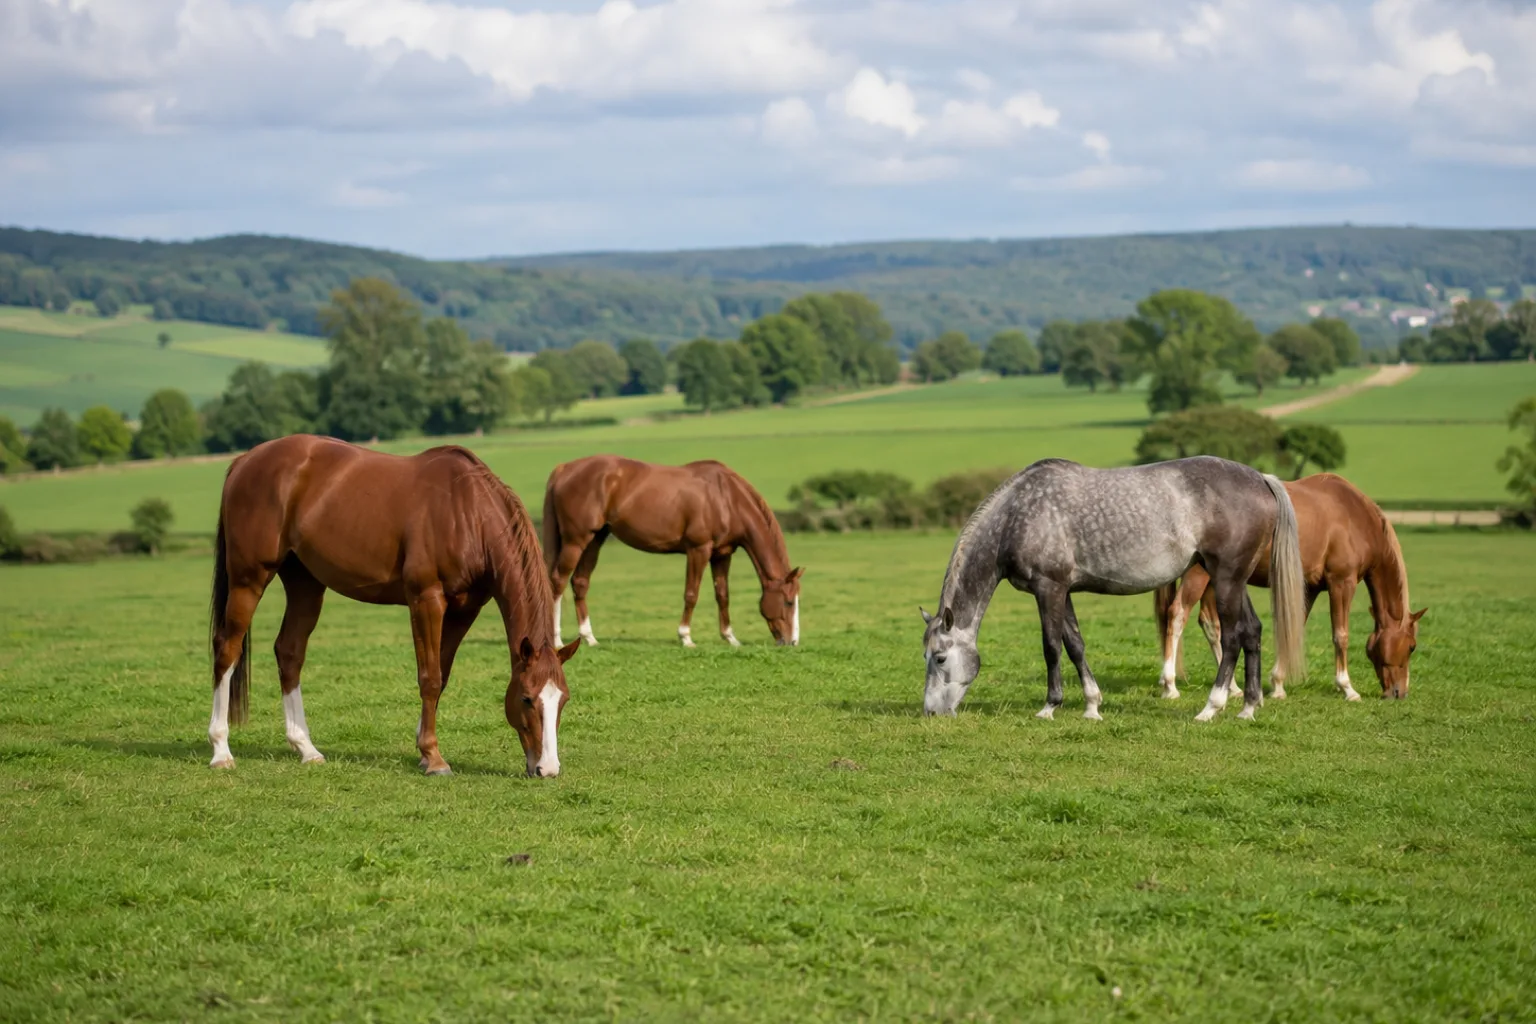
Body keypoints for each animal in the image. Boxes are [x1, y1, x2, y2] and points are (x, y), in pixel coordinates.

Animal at [209, 434, 578, 777]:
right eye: (526, 698)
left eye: (563, 699)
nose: (547, 768)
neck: (469, 513)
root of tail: (245, 460)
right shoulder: (426, 600)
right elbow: (430, 677)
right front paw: (434, 758)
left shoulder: (464, 609)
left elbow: (442, 675)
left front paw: (423, 749)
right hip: (248, 579)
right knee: (227, 649)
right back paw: (221, 750)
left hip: (305, 584)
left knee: (289, 652)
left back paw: (306, 748)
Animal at [542, 455, 802, 648]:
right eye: (789, 602)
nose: (792, 642)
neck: (726, 498)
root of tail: (564, 468)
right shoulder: (699, 550)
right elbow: (691, 594)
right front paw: (686, 637)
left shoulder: (722, 554)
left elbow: (723, 595)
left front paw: (730, 638)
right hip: (575, 541)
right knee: (557, 582)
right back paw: (556, 640)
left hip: (595, 539)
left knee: (580, 582)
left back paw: (589, 638)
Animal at [922, 456, 1306, 722]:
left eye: (940, 657)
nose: (930, 712)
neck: (1016, 516)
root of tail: (1261, 478)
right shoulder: (1063, 591)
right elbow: (1075, 645)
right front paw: (1092, 705)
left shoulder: (1048, 588)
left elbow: (1051, 647)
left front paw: (1049, 706)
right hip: (1234, 581)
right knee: (1252, 631)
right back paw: (1248, 707)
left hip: (1225, 578)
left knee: (1232, 638)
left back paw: (1212, 707)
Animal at [1154, 472, 1425, 701]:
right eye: (1412, 647)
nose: (1399, 692)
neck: (1355, 518)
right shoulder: (1342, 582)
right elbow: (1341, 635)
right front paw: (1347, 688)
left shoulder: (1309, 587)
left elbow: (1294, 627)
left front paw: (1278, 684)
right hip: (1198, 576)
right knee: (1177, 614)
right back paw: (1170, 685)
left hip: (1216, 579)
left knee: (1211, 624)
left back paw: (1232, 688)